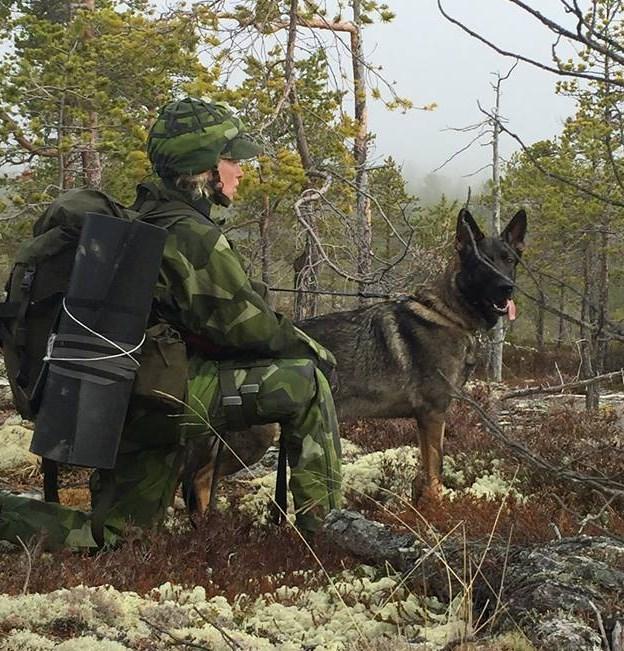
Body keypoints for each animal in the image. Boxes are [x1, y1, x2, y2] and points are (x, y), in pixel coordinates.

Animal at [183, 209, 524, 516]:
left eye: (509, 260)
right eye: (482, 263)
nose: (507, 287)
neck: (447, 313)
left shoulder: (424, 420)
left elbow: (424, 472)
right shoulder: (433, 414)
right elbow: (435, 473)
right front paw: (437, 513)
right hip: (255, 439)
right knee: (198, 478)